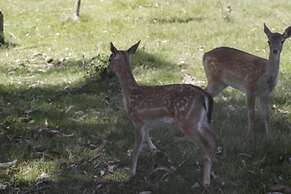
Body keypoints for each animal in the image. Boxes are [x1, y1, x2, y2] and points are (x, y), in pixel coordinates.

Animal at [109, 41, 217, 186]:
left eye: (109, 58)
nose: (108, 70)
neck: (130, 94)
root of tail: (204, 95)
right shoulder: (146, 122)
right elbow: (147, 136)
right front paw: (154, 149)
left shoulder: (137, 120)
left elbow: (136, 148)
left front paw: (131, 173)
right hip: (201, 121)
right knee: (213, 138)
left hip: (188, 121)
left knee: (206, 145)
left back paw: (205, 181)